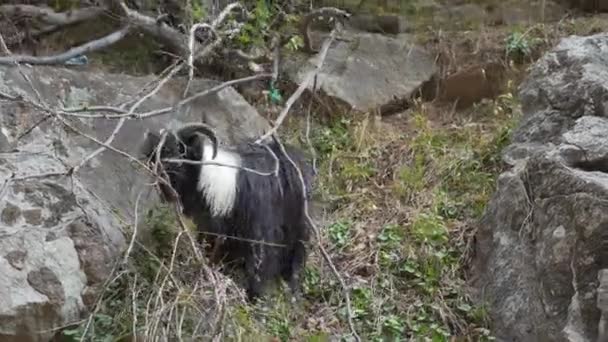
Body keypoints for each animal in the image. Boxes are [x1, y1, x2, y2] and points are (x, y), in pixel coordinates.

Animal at [141, 123, 316, 300]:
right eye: (158, 150)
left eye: (180, 147)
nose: (162, 170)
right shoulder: (211, 230)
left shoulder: (259, 231)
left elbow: (259, 264)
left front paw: (254, 296)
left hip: (298, 223)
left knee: (296, 252)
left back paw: (292, 287)